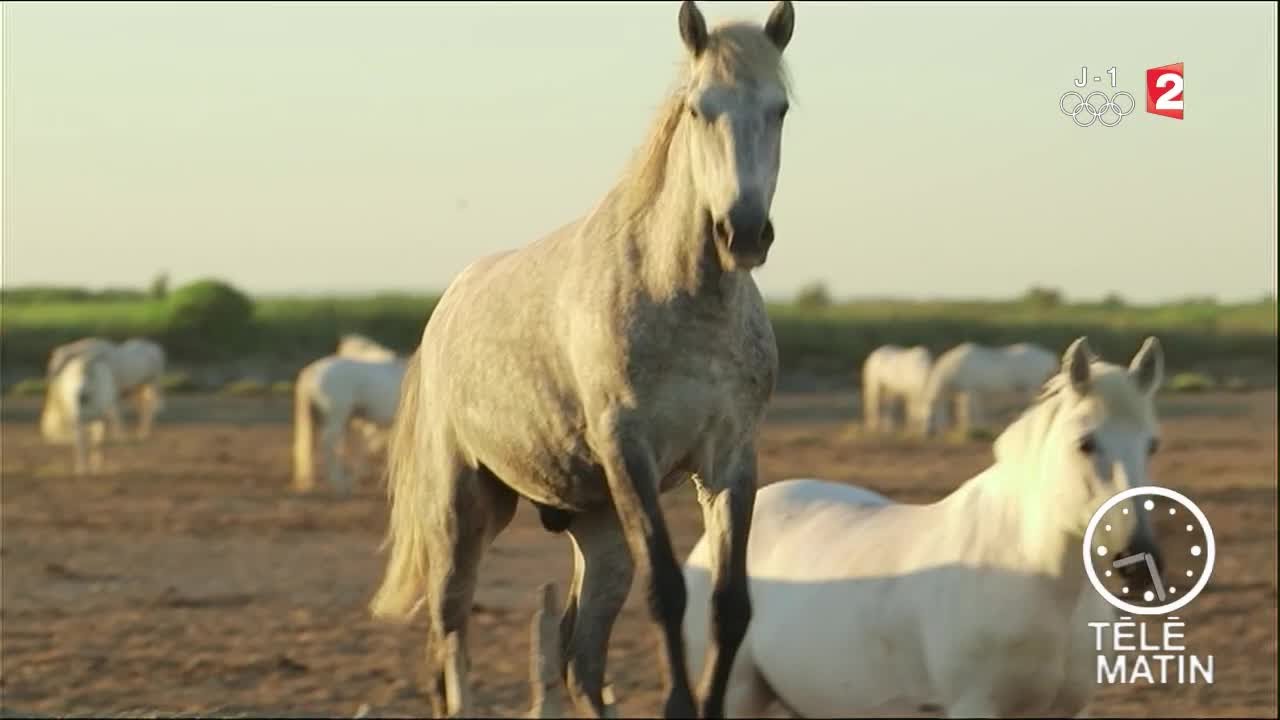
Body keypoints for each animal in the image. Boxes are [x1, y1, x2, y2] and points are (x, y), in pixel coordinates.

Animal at [370, 2, 797, 717]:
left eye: (781, 108)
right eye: (699, 109)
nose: (741, 233)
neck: (684, 298)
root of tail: (446, 308)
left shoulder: (730, 462)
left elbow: (729, 606)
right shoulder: (631, 452)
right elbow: (667, 591)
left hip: (599, 535)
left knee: (579, 660)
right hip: (461, 512)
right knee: (447, 637)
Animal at [912, 341, 1058, 436]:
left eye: (926, 417)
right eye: (918, 420)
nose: (926, 434)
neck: (953, 369)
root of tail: (1048, 356)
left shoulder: (970, 390)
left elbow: (969, 411)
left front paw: (973, 427)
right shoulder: (967, 393)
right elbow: (965, 411)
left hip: (1032, 386)